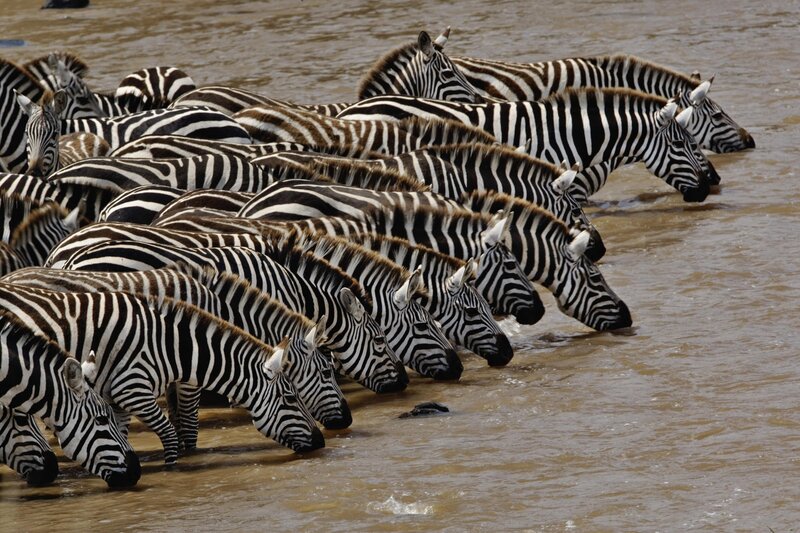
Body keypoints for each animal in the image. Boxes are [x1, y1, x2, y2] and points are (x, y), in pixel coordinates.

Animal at [1, 263, 351, 437]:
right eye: (326, 372)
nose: (347, 421)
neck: (219, 306)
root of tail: (13, 273)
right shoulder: (189, 364)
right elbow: (187, 415)